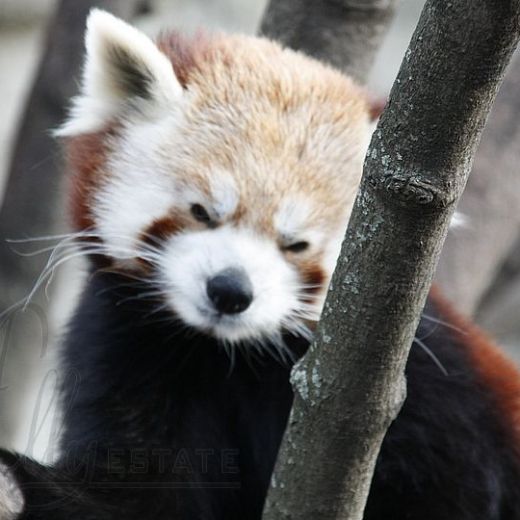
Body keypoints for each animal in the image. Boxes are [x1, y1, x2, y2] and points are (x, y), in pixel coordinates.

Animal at [1, 8, 520, 520]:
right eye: (202, 212)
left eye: (296, 244)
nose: (230, 291)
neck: (230, 356)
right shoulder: (126, 345)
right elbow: (140, 492)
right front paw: (22, 484)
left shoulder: (436, 389)